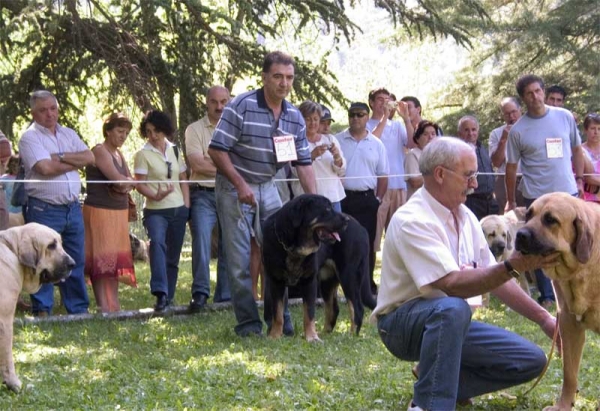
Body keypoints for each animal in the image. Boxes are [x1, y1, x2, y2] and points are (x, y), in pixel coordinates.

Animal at [0, 224, 74, 394]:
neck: (12, 249)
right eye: (51, 246)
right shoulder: (4, 321)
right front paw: (13, 383)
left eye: (60, 243)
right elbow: (7, 355)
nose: (73, 264)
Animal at [262, 195, 376, 342]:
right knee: (334, 309)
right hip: (327, 280)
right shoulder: (276, 282)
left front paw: (312, 338)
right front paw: (275, 336)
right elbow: (277, 313)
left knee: (357, 308)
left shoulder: (309, 281)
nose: (346, 220)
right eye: (327, 209)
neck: (294, 248)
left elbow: (309, 313)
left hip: (348, 275)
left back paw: (350, 336)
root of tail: (362, 228)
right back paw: (326, 333)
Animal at [516, 194, 600, 411]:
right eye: (528, 215)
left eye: (550, 220)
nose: (520, 235)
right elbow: (569, 374)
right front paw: (563, 406)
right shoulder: (568, 325)